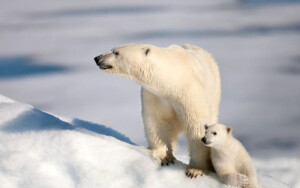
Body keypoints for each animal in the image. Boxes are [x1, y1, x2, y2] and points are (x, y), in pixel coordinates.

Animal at [95, 43, 221, 176]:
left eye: (116, 52)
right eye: (112, 49)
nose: (97, 58)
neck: (173, 81)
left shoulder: (190, 93)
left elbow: (196, 125)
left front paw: (195, 170)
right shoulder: (155, 96)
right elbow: (157, 122)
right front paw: (164, 157)